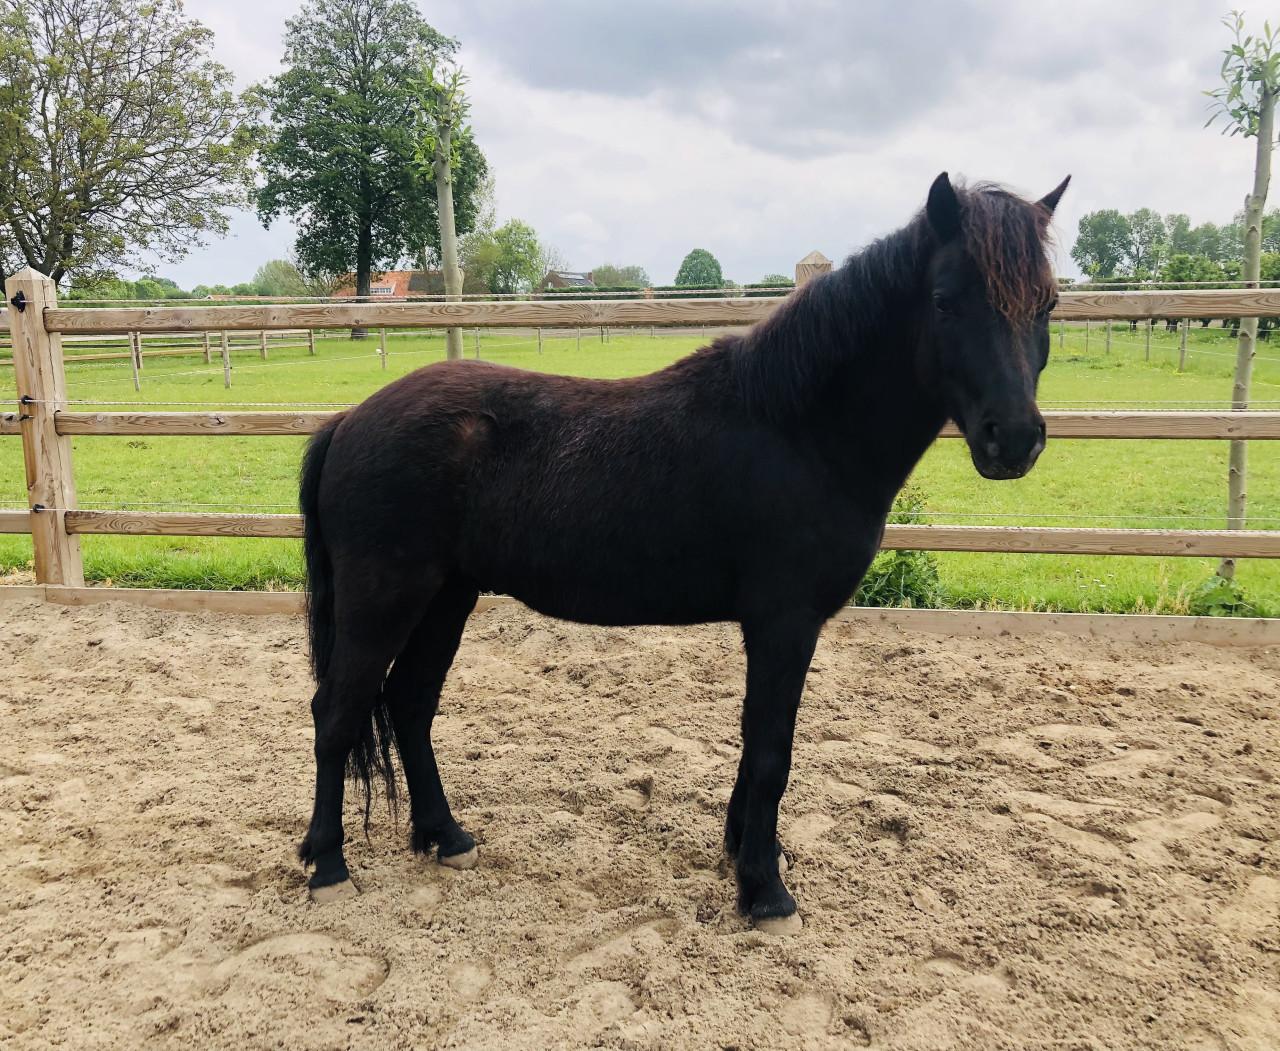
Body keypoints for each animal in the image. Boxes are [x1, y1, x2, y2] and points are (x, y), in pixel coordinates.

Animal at [297, 171, 1070, 933]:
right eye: (944, 300)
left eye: (1048, 303)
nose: (1014, 438)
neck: (800, 429)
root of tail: (349, 420)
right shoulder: (784, 623)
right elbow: (771, 751)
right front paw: (766, 892)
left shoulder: (775, 628)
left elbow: (754, 745)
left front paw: (746, 852)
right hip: (384, 600)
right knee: (337, 711)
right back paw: (328, 865)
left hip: (446, 597)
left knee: (409, 703)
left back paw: (445, 836)